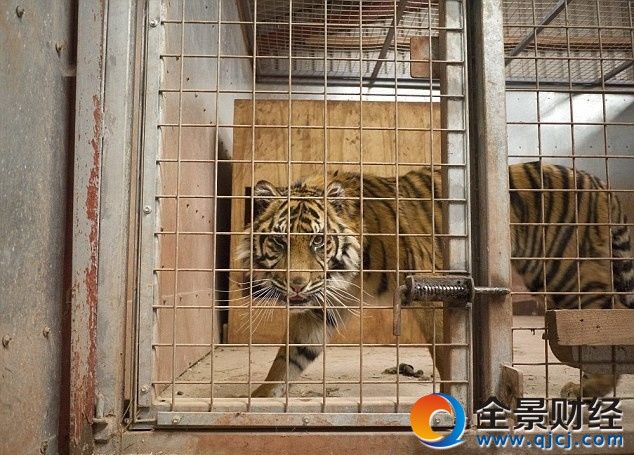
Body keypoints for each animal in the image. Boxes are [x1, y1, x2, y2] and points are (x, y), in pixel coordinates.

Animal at [237, 161, 633, 398]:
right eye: (279, 242)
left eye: (318, 241)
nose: (297, 284)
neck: (347, 270)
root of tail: (600, 182)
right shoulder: (329, 302)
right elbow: (290, 354)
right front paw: (261, 399)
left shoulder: (430, 289)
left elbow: (446, 351)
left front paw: (451, 398)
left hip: (568, 271)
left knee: (603, 323)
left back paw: (588, 389)